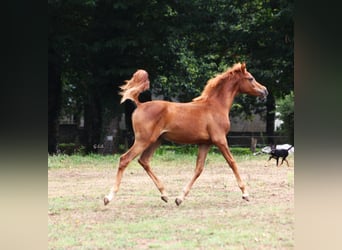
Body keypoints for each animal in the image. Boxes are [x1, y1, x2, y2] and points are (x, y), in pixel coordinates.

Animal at [104, 62, 268, 205]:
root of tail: (140, 104)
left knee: (144, 161)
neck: (215, 106)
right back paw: (109, 197)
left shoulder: (205, 143)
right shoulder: (220, 140)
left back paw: (165, 194)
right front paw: (245, 194)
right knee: (125, 159)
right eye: (250, 78)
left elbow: (199, 169)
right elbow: (232, 163)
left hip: (156, 140)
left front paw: (179, 198)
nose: (265, 90)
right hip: (143, 140)